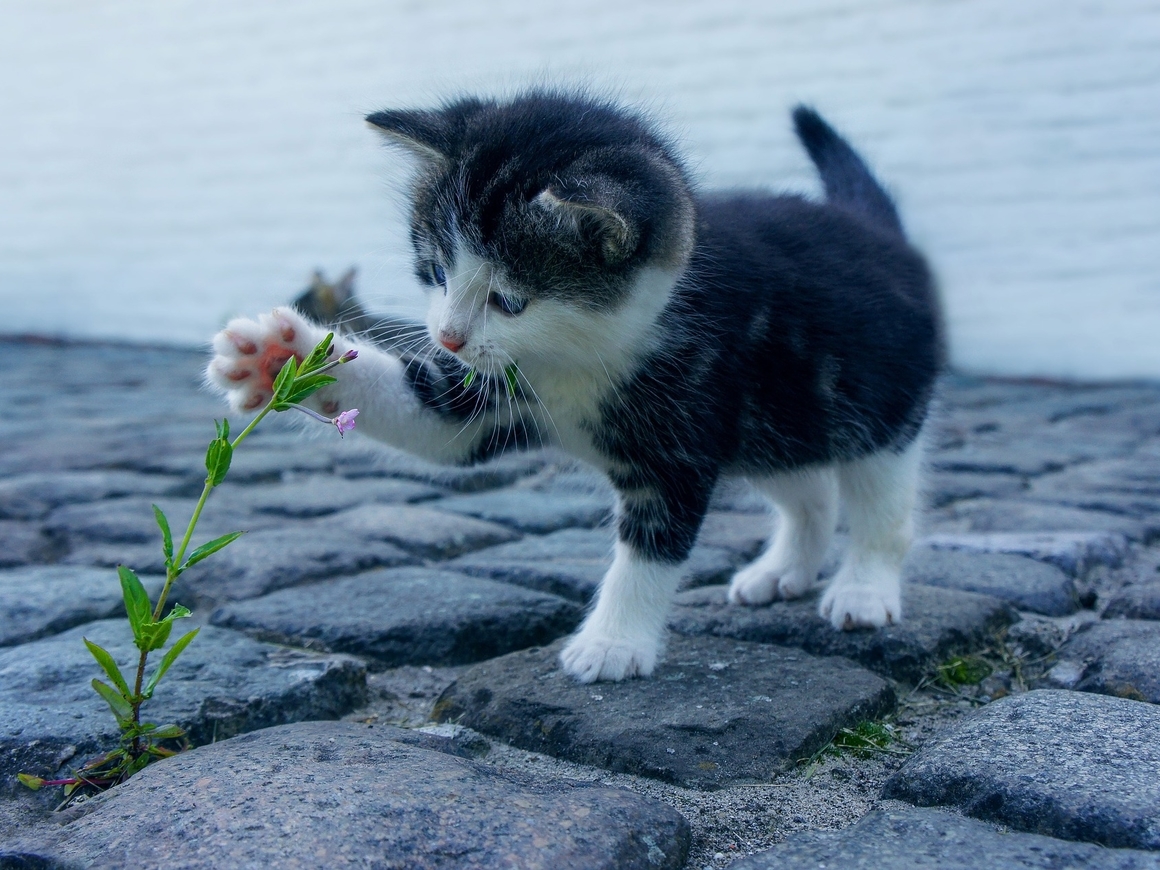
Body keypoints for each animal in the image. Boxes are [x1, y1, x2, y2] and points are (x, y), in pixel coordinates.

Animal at [208, 90, 941, 686]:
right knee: (809, 488)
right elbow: (432, 420)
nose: (447, 337)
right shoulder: (491, 393)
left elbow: (651, 547)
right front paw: (280, 358)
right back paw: (784, 569)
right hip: (775, 421)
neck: (577, 355)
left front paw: (613, 643)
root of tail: (879, 232)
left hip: (877, 406)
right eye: (437, 271)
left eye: (509, 299)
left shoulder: (682, 434)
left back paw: (863, 589)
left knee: (881, 503)